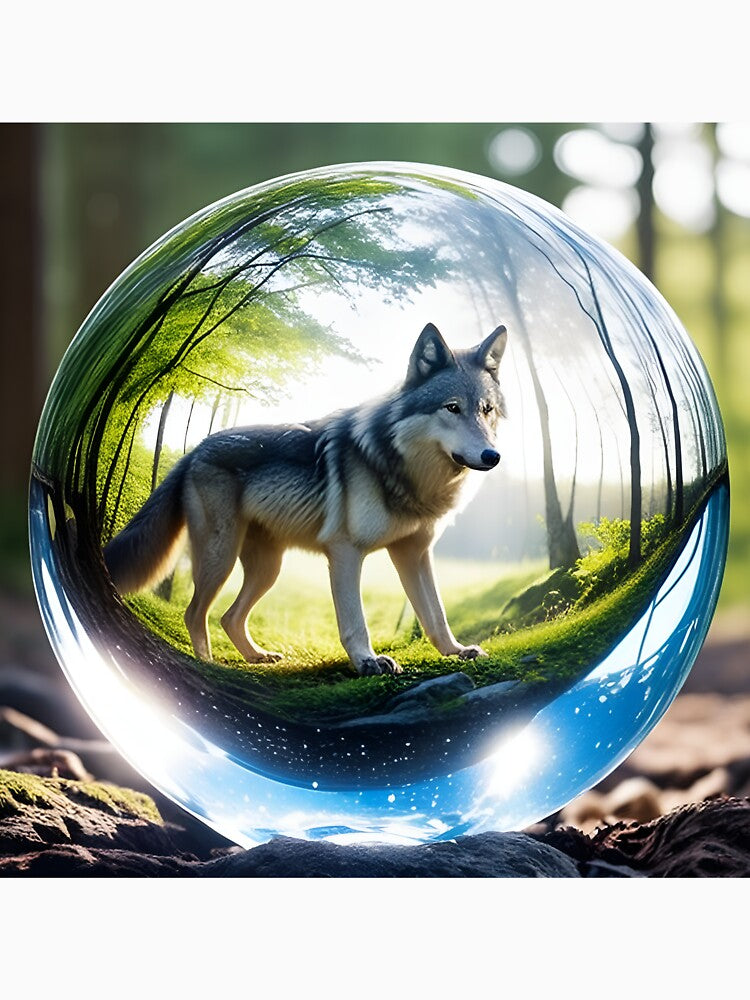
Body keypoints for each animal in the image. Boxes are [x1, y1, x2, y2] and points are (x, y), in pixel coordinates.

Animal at [104, 322, 508, 676]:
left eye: (486, 410)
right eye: (451, 407)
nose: (493, 456)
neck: (401, 469)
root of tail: (194, 450)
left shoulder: (414, 554)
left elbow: (436, 614)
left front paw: (456, 651)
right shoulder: (346, 552)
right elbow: (355, 620)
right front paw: (368, 662)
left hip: (267, 569)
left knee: (229, 617)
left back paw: (257, 657)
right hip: (222, 557)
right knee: (195, 613)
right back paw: (209, 665)